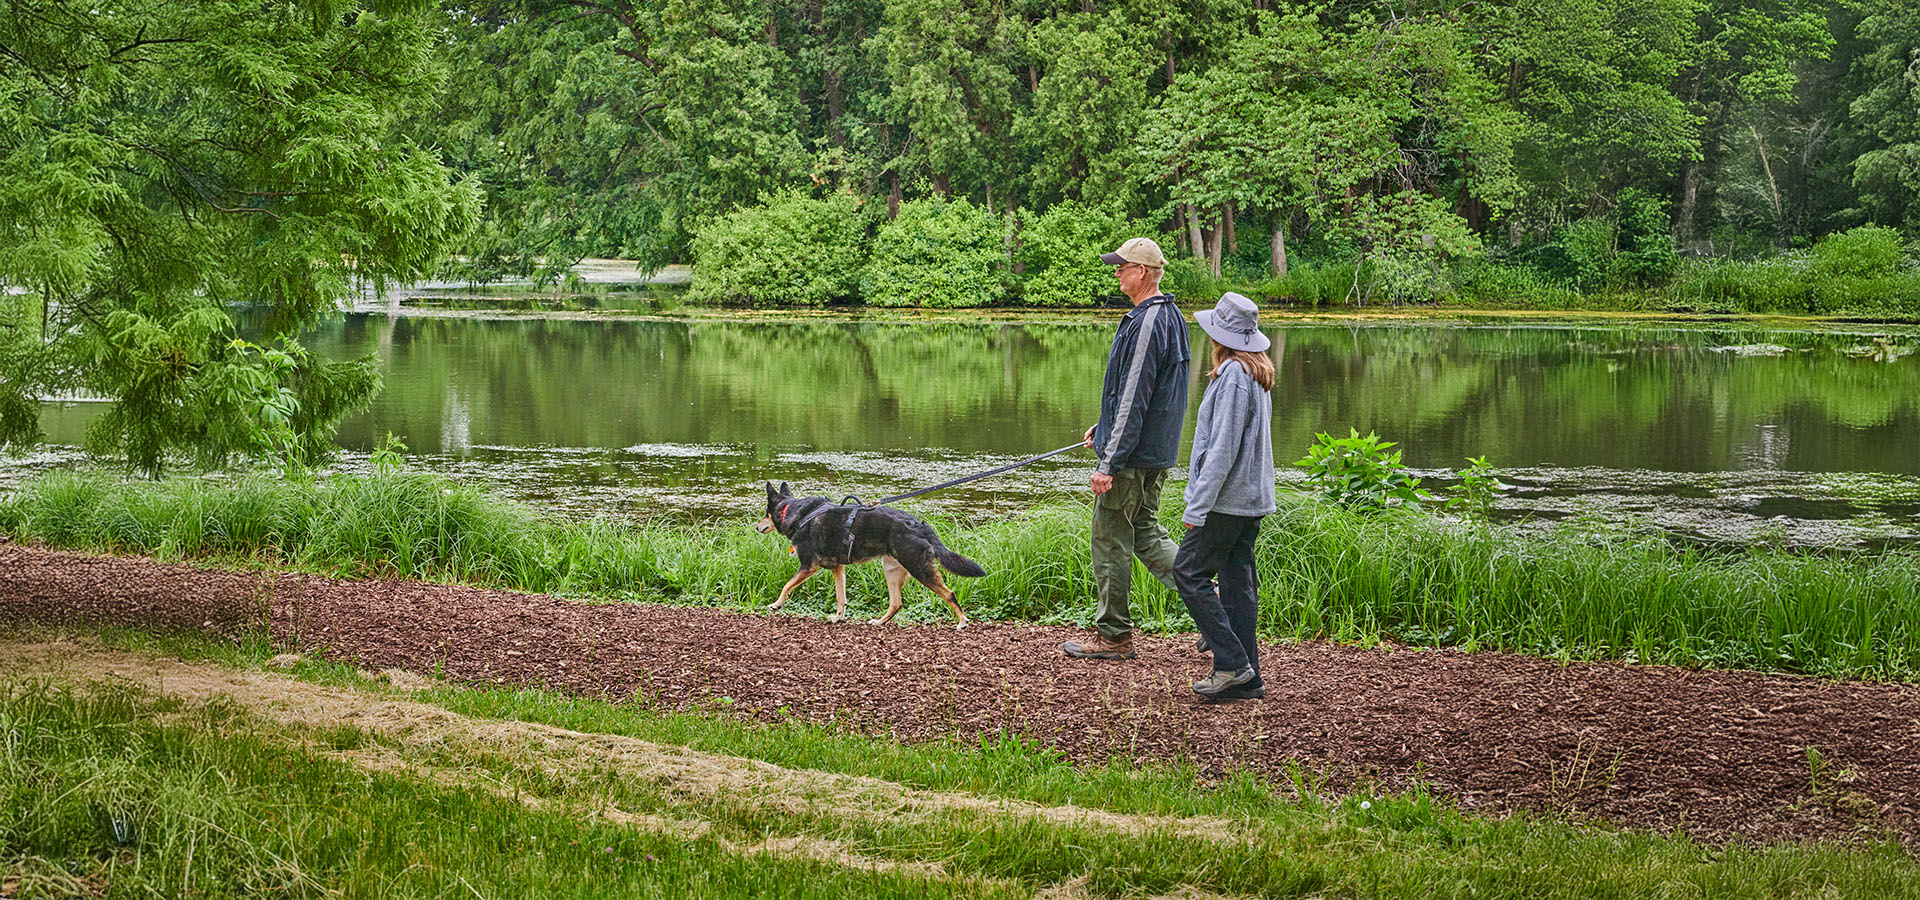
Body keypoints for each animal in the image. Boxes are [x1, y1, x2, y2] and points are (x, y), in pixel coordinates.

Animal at [752, 483, 990, 625]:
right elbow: (841, 597)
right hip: (892, 570)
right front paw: (838, 618)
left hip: (919, 569)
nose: (756, 527)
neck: (797, 513)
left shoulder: (809, 566)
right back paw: (880, 622)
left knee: (949, 594)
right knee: (896, 603)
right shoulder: (838, 568)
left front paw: (776, 604)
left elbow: (787, 586)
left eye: (765, 514)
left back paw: (962, 621)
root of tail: (921, 526)